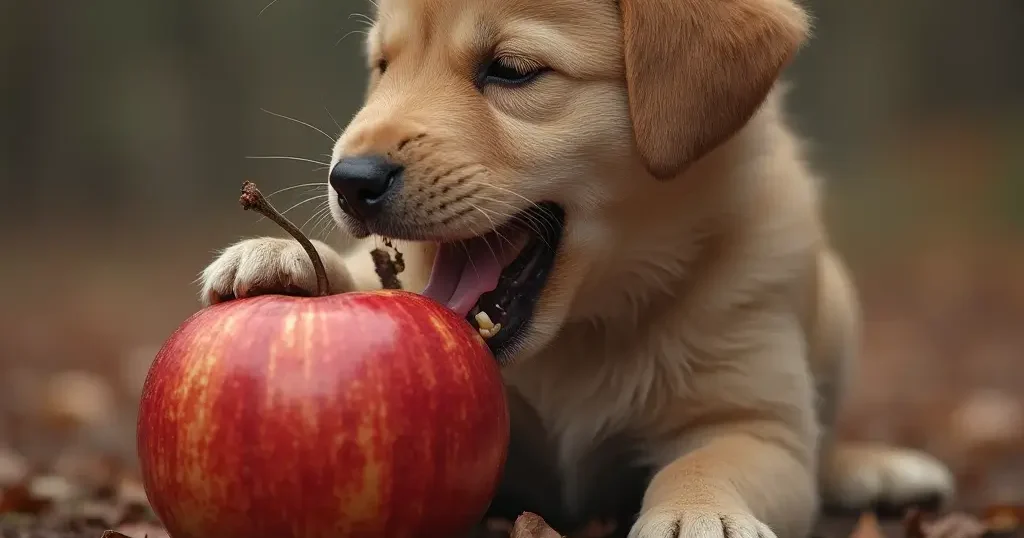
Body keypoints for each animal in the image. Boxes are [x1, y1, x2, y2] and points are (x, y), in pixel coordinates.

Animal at [201, 0, 958, 532]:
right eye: (384, 66)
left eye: (510, 69)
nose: (349, 181)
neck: (584, 327)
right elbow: (376, 277)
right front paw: (287, 261)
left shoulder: (754, 423)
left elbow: (708, 460)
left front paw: (697, 511)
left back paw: (877, 469)